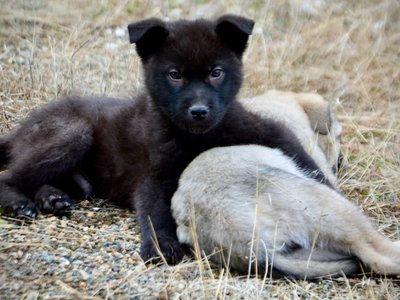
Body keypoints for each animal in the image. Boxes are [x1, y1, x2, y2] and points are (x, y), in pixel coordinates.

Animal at [0, 14, 332, 262]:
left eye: (216, 72)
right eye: (175, 74)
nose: (198, 111)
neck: (196, 137)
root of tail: (22, 127)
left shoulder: (260, 128)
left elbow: (297, 151)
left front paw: (325, 187)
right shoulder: (154, 176)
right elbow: (155, 213)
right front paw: (161, 246)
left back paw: (51, 198)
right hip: (73, 133)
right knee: (9, 177)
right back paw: (20, 204)